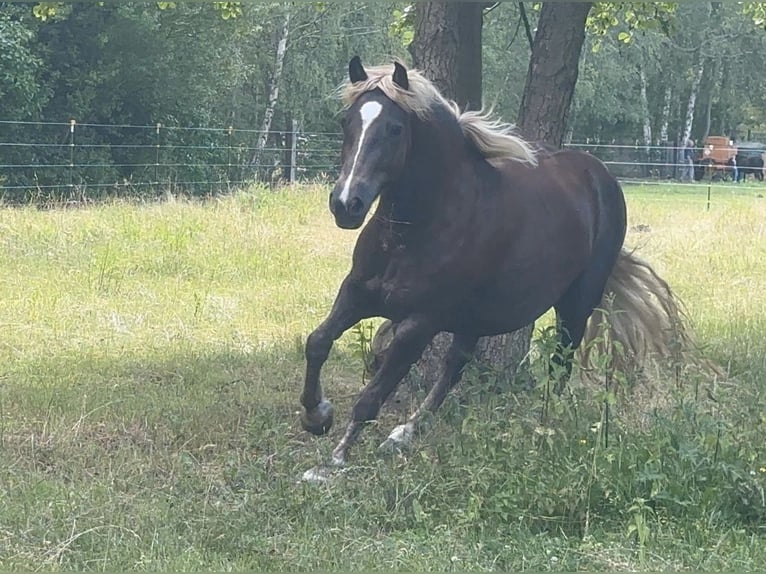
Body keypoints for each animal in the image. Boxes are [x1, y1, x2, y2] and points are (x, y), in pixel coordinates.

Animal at [299, 56, 692, 482]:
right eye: (347, 121)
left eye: (394, 128)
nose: (346, 204)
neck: (416, 230)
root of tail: (600, 176)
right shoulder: (357, 293)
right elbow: (317, 342)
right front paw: (317, 416)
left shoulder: (420, 322)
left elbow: (372, 393)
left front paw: (332, 461)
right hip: (474, 317)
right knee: (456, 366)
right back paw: (403, 433)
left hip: (577, 302)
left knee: (560, 363)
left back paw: (542, 428)